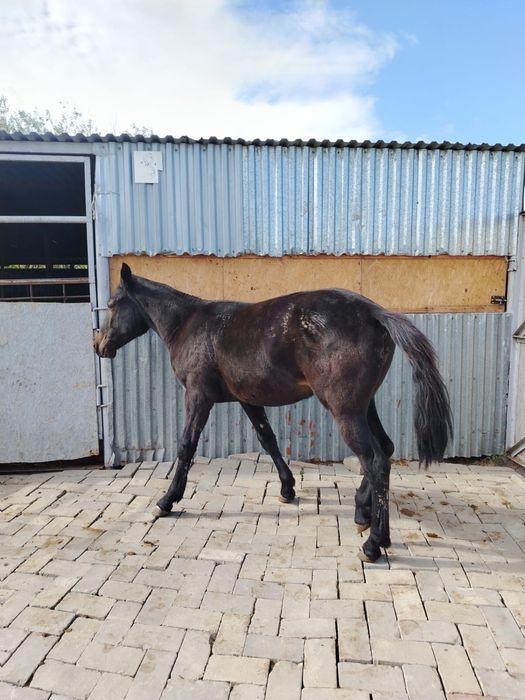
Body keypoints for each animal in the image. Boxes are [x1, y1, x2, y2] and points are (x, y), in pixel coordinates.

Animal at [94, 263, 452, 563]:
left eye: (112, 305)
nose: (99, 345)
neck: (190, 325)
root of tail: (374, 313)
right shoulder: (248, 399)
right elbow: (268, 439)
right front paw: (287, 488)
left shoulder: (198, 396)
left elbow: (186, 447)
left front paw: (167, 501)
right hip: (364, 406)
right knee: (384, 450)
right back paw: (362, 512)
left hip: (345, 411)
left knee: (374, 461)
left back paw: (374, 543)